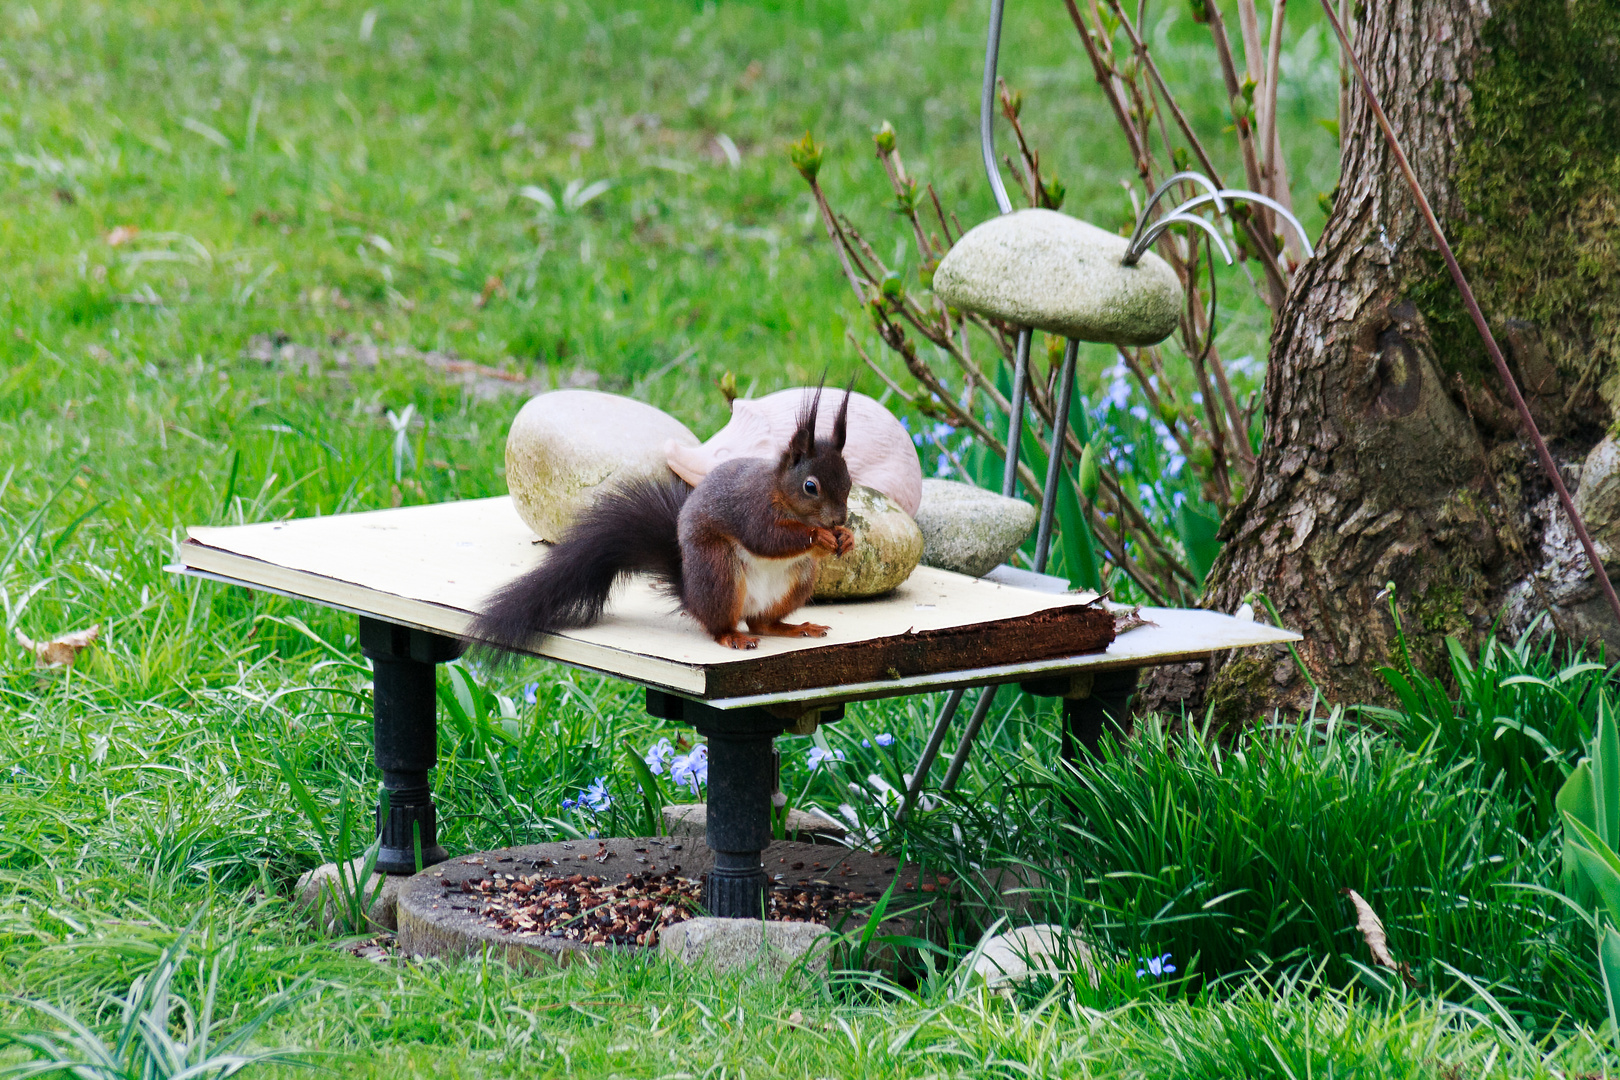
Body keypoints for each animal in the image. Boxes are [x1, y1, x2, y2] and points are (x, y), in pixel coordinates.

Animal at [466, 393, 861, 654]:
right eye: (810, 486)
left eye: (849, 481)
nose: (839, 519)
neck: (781, 493)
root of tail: (691, 594)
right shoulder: (751, 508)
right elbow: (767, 538)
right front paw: (820, 536)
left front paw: (846, 537)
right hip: (719, 572)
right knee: (720, 625)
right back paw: (731, 636)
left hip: (798, 580)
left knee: (763, 622)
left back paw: (797, 626)